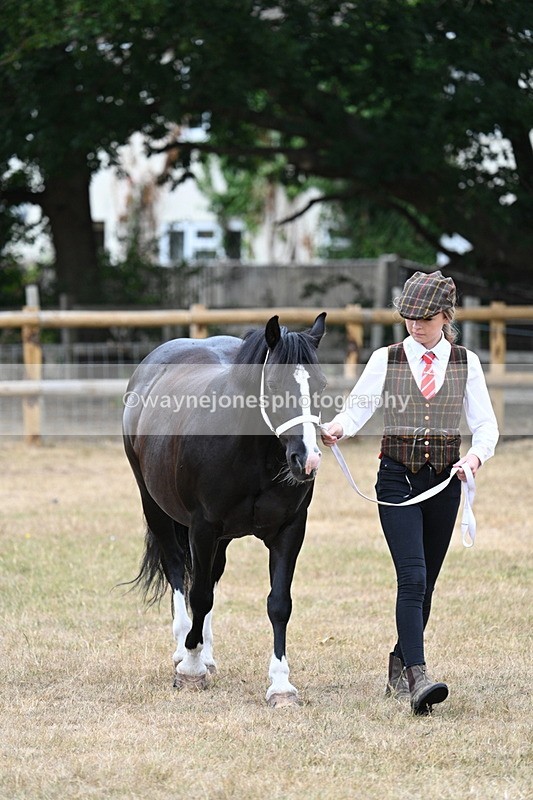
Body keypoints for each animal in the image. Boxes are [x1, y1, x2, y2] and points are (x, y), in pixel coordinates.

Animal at [122, 313, 327, 706]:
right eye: (274, 384)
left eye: (321, 384)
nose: (306, 460)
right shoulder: (203, 528)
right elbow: (199, 595)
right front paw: (190, 670)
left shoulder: (290, 530)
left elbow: (279, 603)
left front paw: (281, 686)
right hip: (155, 508)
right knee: (177, 571)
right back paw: (184, 650)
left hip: (222, 538)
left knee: (210, 578)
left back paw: (206, 651)